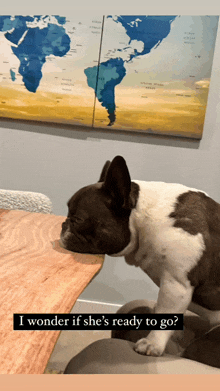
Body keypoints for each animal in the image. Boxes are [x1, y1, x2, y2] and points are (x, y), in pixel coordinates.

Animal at [60, 156, 220, 358]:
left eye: (78, 219)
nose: (63, 224)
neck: (143, 218)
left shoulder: (176, 285)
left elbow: (165, 314)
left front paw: (152, 343)